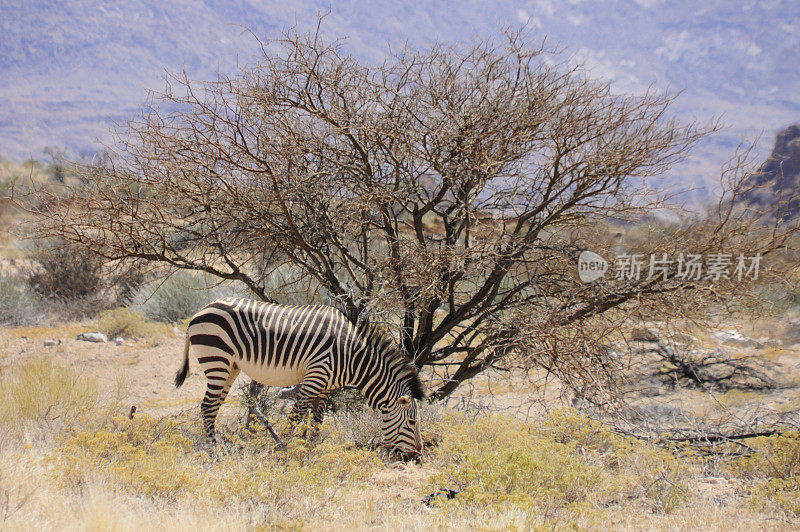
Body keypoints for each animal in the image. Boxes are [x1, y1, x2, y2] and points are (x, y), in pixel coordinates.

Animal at [175, 300, 424, 458]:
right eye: (412, 422)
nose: (417, 457)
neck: (351, 355)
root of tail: (201, 310)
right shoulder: (315, 377)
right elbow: (296, 416)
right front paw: (285, 449)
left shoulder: (325, 387)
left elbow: (317, 419)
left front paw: (311, 449)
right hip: (217, 360)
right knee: (207, 406)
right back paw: (215, 452)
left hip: (230, 367)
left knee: (214, 407)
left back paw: (219, 448)